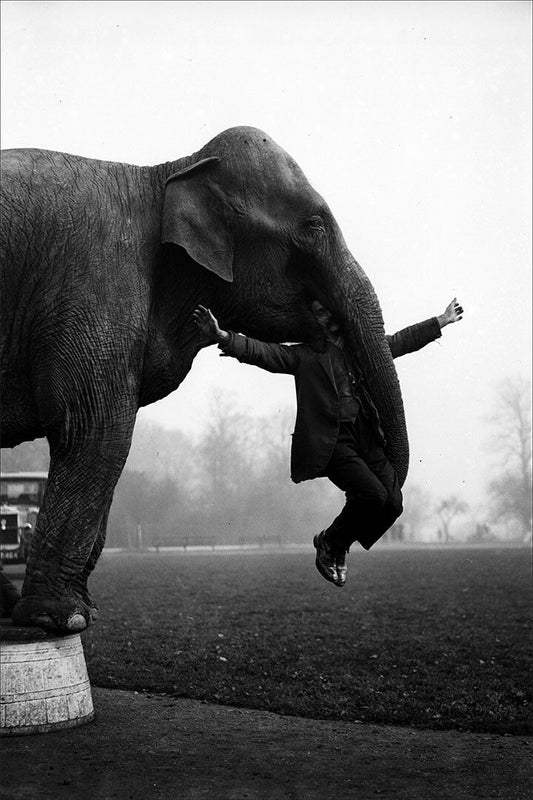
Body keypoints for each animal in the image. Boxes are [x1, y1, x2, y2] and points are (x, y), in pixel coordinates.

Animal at [0, 126, 408, 633]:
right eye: (315, 225)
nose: (332, 559)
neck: (167, 173)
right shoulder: (95, 283)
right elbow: (96, 430)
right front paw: (62, 619)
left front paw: (84, 611)